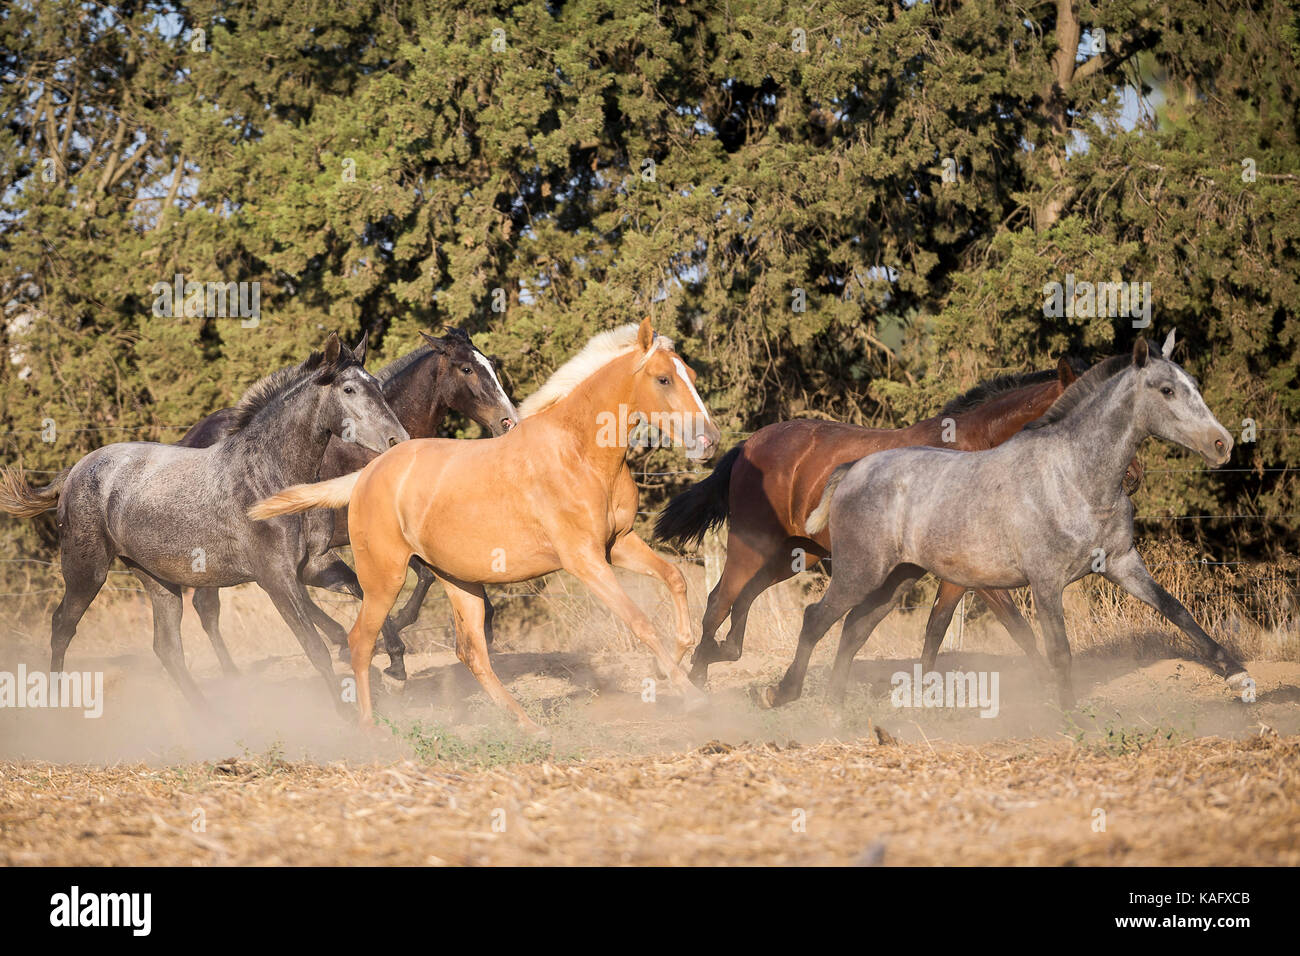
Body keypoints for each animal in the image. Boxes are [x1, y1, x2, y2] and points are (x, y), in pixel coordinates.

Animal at [0, 332, 405, 707]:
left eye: (377, 385)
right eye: (349, 389)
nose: (397, 440)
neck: (269, 475)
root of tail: (74, 471)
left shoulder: (314, 565)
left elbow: (365, 593)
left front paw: (396, 662)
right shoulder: (276, 578)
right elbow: (314, 645)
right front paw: (348, 715)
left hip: (157, 579)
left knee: (166, 647)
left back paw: (211, 717)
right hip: (87, 571)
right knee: (62, 626)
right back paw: (56, 707)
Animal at [174, 329, 517, 681]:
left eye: (490, 364)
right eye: (466, 369)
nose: (508, 420)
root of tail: (189, 438)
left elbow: (434, 574)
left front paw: (483, 625)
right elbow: (420, 577)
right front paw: (395, 641)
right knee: (208, 606)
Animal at [245, 321, 722, 733]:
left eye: (692, 374)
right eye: (663, 379)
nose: (709, 441)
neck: (578, 451)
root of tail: (368, 473)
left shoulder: (617, 544)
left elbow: (675, 579)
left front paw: (674, 661)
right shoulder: (584, 560)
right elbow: (641, 622)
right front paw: (692, 695)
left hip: (459, 580)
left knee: (471, 651)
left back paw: (529, 727)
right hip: (384, 576)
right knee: (362, 641)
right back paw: (369, 728)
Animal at [655, 356, 1144, 686]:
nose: (1133, 476)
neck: (975, 451)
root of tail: (748, 446)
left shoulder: (957, 573)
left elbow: (937, 628)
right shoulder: (972, 571)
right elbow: (1014, 627)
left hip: (797, 553)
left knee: (744, 598)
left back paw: (724, 654)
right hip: (752, 543)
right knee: (720, 599)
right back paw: (700, 676)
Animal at [764, 335, 1253, 712]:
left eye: (1194, 385)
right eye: (1167, 390)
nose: (1223, 443)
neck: (1074, 478)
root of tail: (852, 469)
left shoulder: (1122, 564)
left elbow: (1178, 611)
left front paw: (1239, 678)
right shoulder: (1044, 580)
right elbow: (1054, 649)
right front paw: (1065, 713)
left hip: (897, 577)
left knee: (854, 627)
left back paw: (835, 707)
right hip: (858, 571)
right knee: (817, 618)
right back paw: (784, 694)